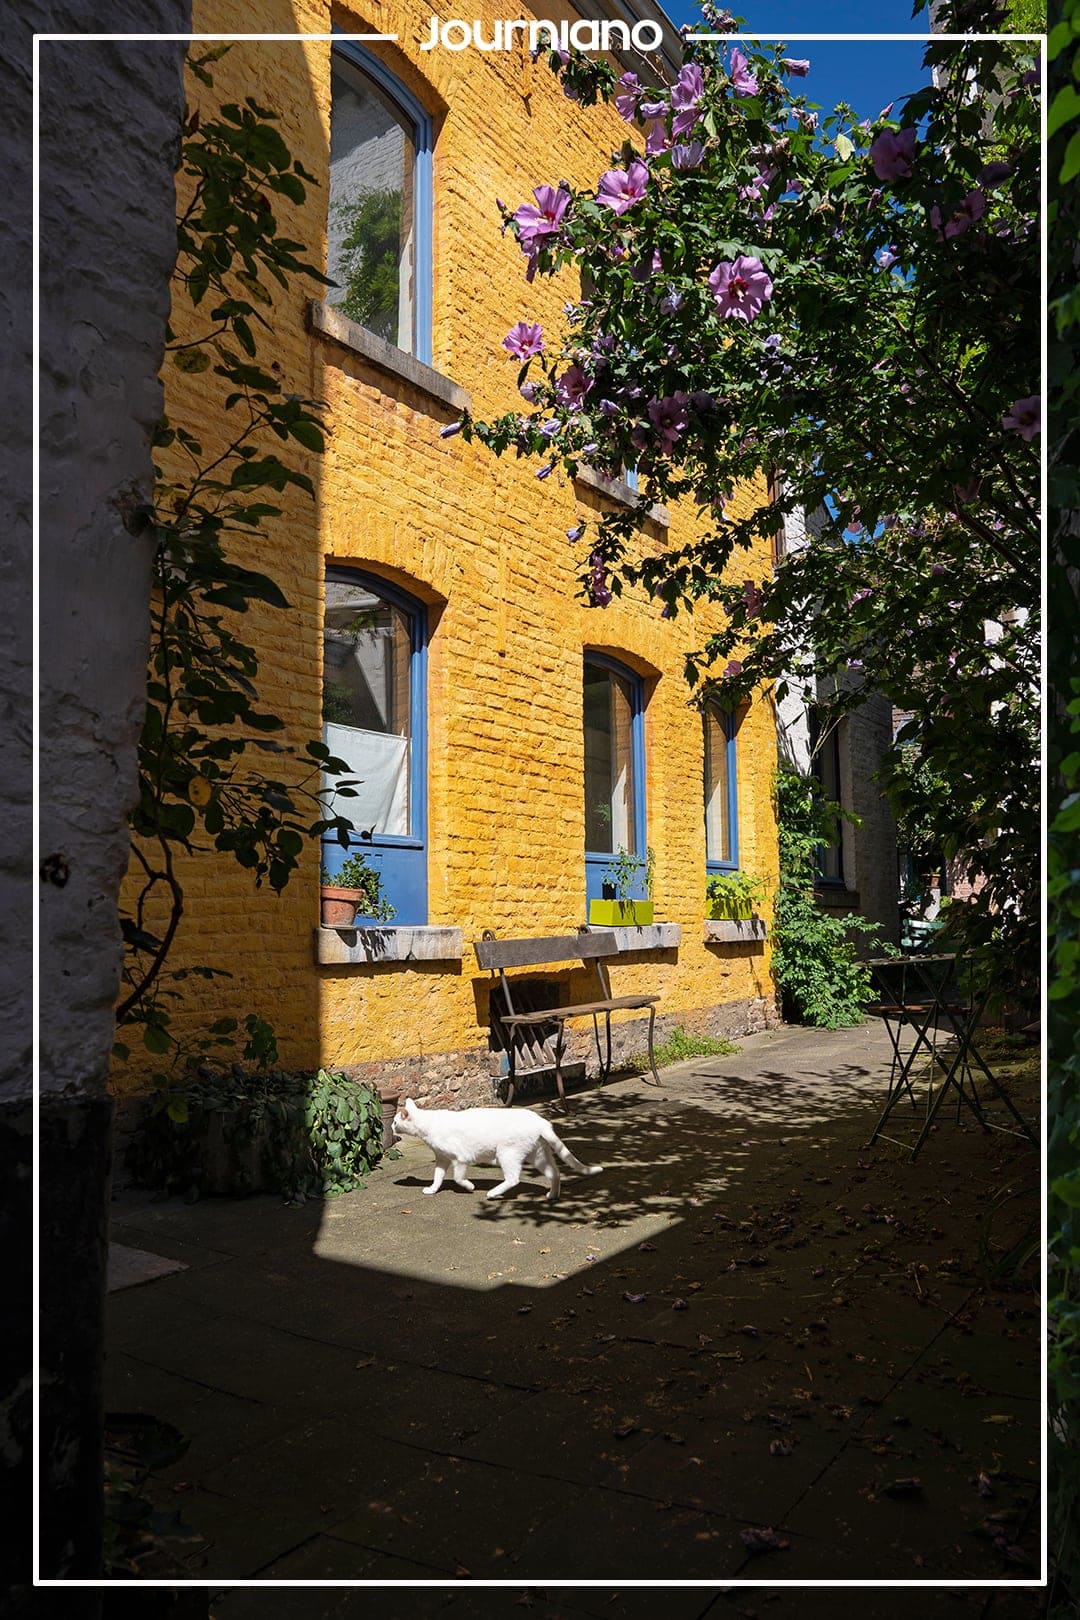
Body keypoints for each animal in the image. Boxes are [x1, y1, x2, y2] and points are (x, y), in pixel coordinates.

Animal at [390, 1101, 608, 1205]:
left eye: (394, 1121)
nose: (391, 1128)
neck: (428, 1124)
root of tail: (541, 1121)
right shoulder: (442, 1158)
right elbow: (437, 1177)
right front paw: (432, 1190)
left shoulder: (460, 1158)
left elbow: (458, 1178)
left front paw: (469, 1187)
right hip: (538, 1155)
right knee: (555, 1173)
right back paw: (552, 1195)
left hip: (507, 1153)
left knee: (513, 1179)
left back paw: (493, 1193)